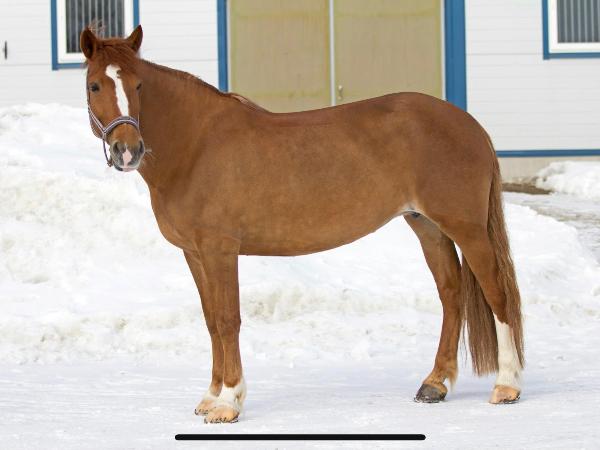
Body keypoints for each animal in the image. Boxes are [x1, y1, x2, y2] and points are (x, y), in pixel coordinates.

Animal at [80, 25, 524, 423]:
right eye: (95, 86)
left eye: (138, 86)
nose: (127, 150)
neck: (196, 145)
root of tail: (469, 124)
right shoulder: (194, 253)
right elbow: (210, 321)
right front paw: (209, 396)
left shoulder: (220, 249)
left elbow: (228, 320)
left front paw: (228, 402)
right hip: (427, 227)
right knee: (452, 296)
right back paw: (435, 384)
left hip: (467, 229)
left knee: (497, 294)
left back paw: (506, 385)